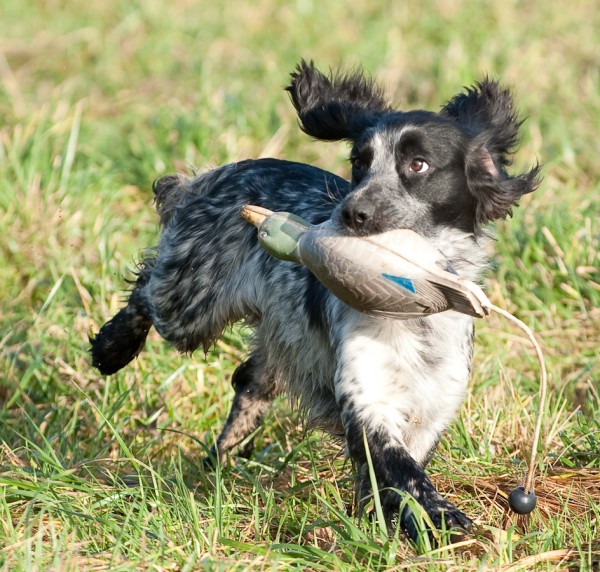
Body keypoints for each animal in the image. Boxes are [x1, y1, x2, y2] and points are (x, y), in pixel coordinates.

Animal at [91, 60, 540, 540]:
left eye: (418, 164)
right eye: (359, 162)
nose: (352, 213)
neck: (414, 310)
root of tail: (221, 172)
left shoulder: (435, 402)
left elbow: (396, 471)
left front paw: (383, 522)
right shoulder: (367, 395)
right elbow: (400, 468)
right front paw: (439, 516)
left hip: (280, 332)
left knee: (250, 378)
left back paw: (224, 457)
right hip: (190, 304)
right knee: (147, 291)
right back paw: (112, 348)